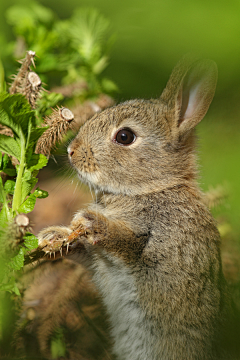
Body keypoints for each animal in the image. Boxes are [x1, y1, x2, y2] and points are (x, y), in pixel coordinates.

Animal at [38, 57, 239, 358]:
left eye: (124, 136)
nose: (72, 151)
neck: (150, 189)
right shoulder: (99, 261)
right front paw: (54, 236)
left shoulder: (165, 254)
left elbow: (129, 247)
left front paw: (92, 222)